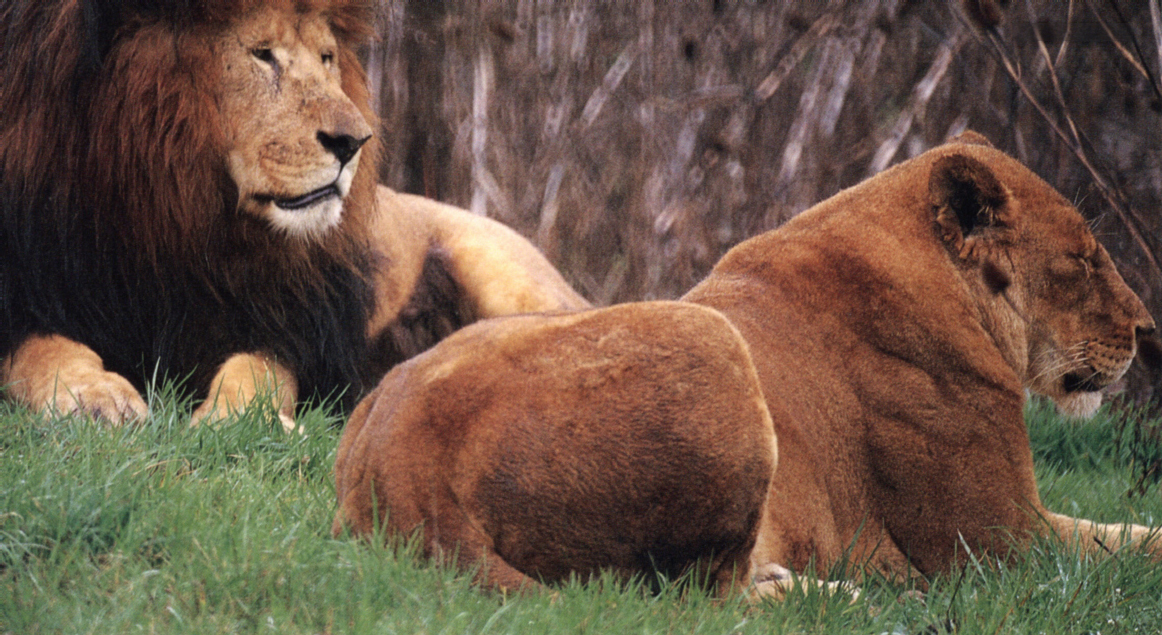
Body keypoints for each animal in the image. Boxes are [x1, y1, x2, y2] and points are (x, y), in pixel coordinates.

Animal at [0, 2, 585, 427]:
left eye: (326, 58)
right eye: (263, 54)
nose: (354, 142)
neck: (171, 223)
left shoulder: (288, 326)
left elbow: (256, 374)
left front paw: (237, 421)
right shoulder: (29, 294)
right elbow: (43, 351)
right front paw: (94, 397)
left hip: (504, 270)